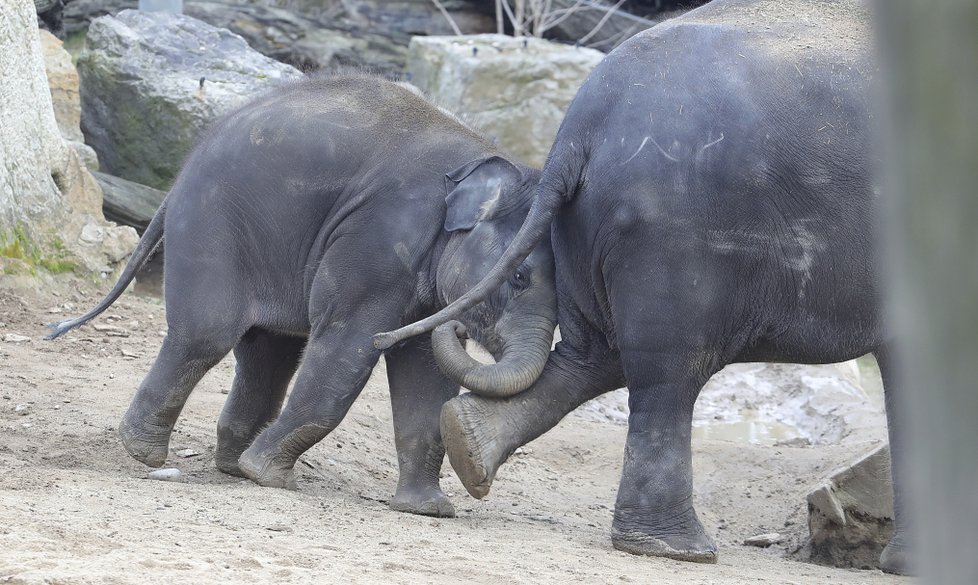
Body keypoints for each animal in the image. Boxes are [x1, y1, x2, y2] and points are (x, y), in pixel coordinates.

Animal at [49, 75, 556, 516]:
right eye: (518, 276)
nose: (459, 326)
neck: (484, 156)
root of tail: (177, 179)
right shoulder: (377, 239)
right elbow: (346, 345)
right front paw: (270, 477)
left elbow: (425, 375)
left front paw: (427, 510)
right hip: (211, 221)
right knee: (208, 334)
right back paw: (150, 454)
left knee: (267, 352)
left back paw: (232, 466)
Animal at [376, 0, 916, 576]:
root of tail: (578, 132)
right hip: (676, 235)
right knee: (667, 370)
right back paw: (674, 549)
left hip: (593, 231)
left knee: (593, 356)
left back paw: (469, 443)